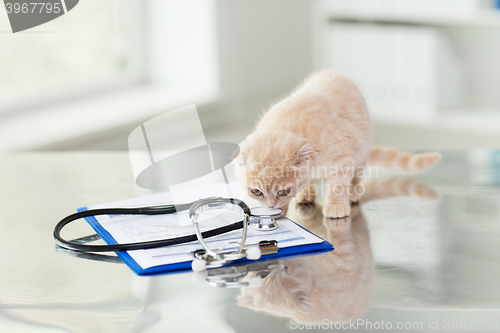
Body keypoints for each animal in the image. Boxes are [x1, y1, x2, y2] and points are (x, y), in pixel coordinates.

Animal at [235, 68, 442, 217]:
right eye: (256, 192)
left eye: (283, 191)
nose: (271, 205)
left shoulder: (344, 157)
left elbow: (338, 185)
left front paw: (336, 205)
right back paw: (306, 194)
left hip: (362, 149)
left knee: (356, 175)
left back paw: (352, 192)